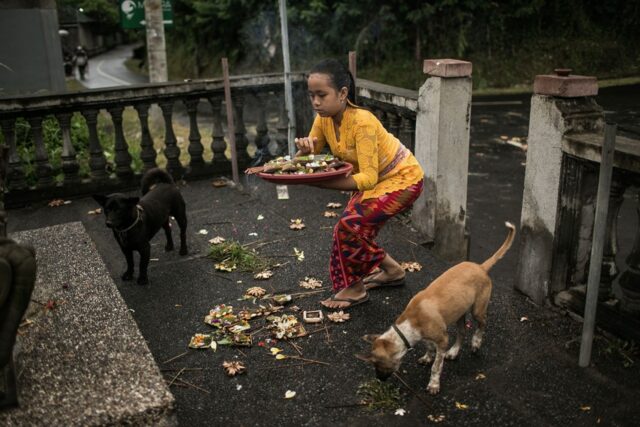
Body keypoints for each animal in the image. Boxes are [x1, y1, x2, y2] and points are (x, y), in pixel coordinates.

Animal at [358, 224, 516, 394]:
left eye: (377, 365)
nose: (379, 380)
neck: (411, 320)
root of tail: (481, 267)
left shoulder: (442, 340)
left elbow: (436, 366)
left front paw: (434, 384)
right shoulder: (427, 336)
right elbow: (429, 347)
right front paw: (428, 357)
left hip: (478, 309)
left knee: (482, 324)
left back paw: (476, 342)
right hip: (459, 312)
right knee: (462, 331)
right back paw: (454, 352)